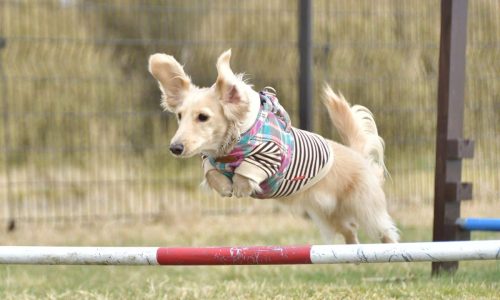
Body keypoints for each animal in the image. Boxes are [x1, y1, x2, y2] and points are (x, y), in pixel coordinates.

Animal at [147, 49, 398, 244]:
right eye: (179, 116)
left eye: (203, 117)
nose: (175, 147)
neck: (232, 146)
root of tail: (358, 155)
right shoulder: (210, 161)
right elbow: (211, 173)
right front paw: (226, 186)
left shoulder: (270, 155)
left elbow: (248, 170)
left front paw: (240, 186)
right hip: (327, 214)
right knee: (350, 231)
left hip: (365, 207)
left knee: (383, 228)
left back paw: (390, 248)